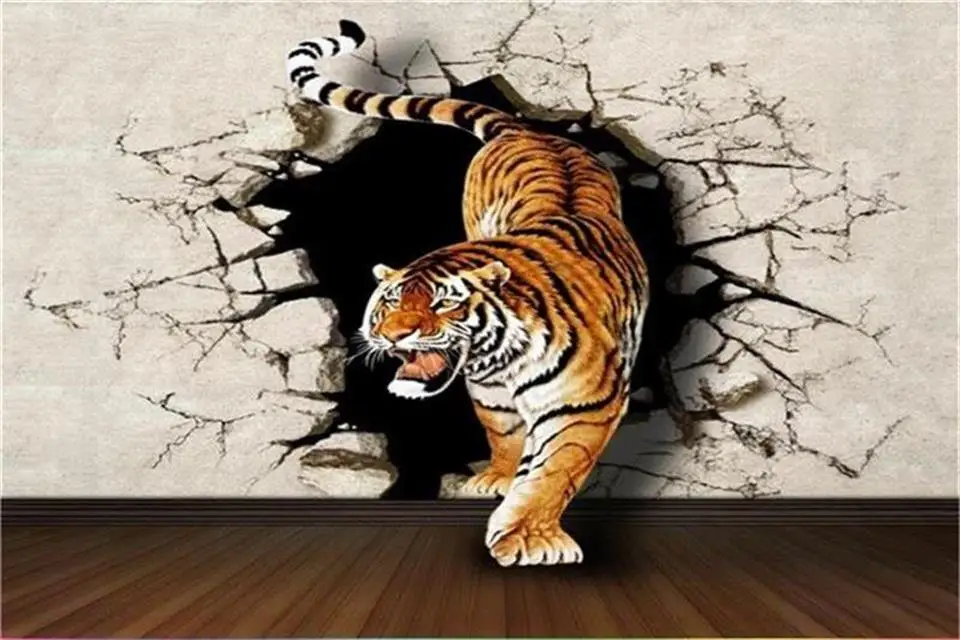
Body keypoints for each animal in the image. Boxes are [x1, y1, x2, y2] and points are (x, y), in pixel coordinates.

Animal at [286, 20, 649, 567]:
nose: (394, 337)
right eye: (390, 304)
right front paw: (498, 479)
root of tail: (528, 129)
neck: (502, 360)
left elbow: (554, 471)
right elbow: (505, 435)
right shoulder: (489, 394)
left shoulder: (586, 404)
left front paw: (527, 537)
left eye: (444, 303)